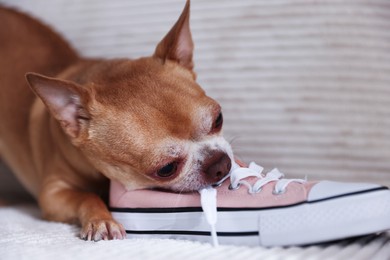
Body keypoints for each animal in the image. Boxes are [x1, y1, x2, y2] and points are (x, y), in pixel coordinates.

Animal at [0, 1, 232, 242]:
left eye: (218, 119)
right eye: (166, 169)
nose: (219, 163)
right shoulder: (52, 193)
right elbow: (86, 196)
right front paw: (101, 220)